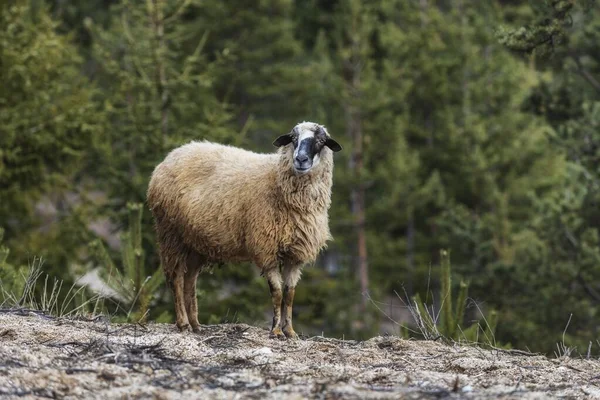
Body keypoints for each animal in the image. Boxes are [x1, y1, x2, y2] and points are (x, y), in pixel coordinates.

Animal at [146, 121, 342, 338]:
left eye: (321, 141)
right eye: (293, 138)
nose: (300, 159)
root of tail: (171, 156)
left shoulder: (295, 255)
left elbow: (290, 294)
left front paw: (290, 331)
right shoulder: (266, 249)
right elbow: (277, 292)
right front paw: (275, 331)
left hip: (195, 242)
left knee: (190, 280)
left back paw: (196, 324)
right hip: (171, 233)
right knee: (176, 278)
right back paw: (183, 324)